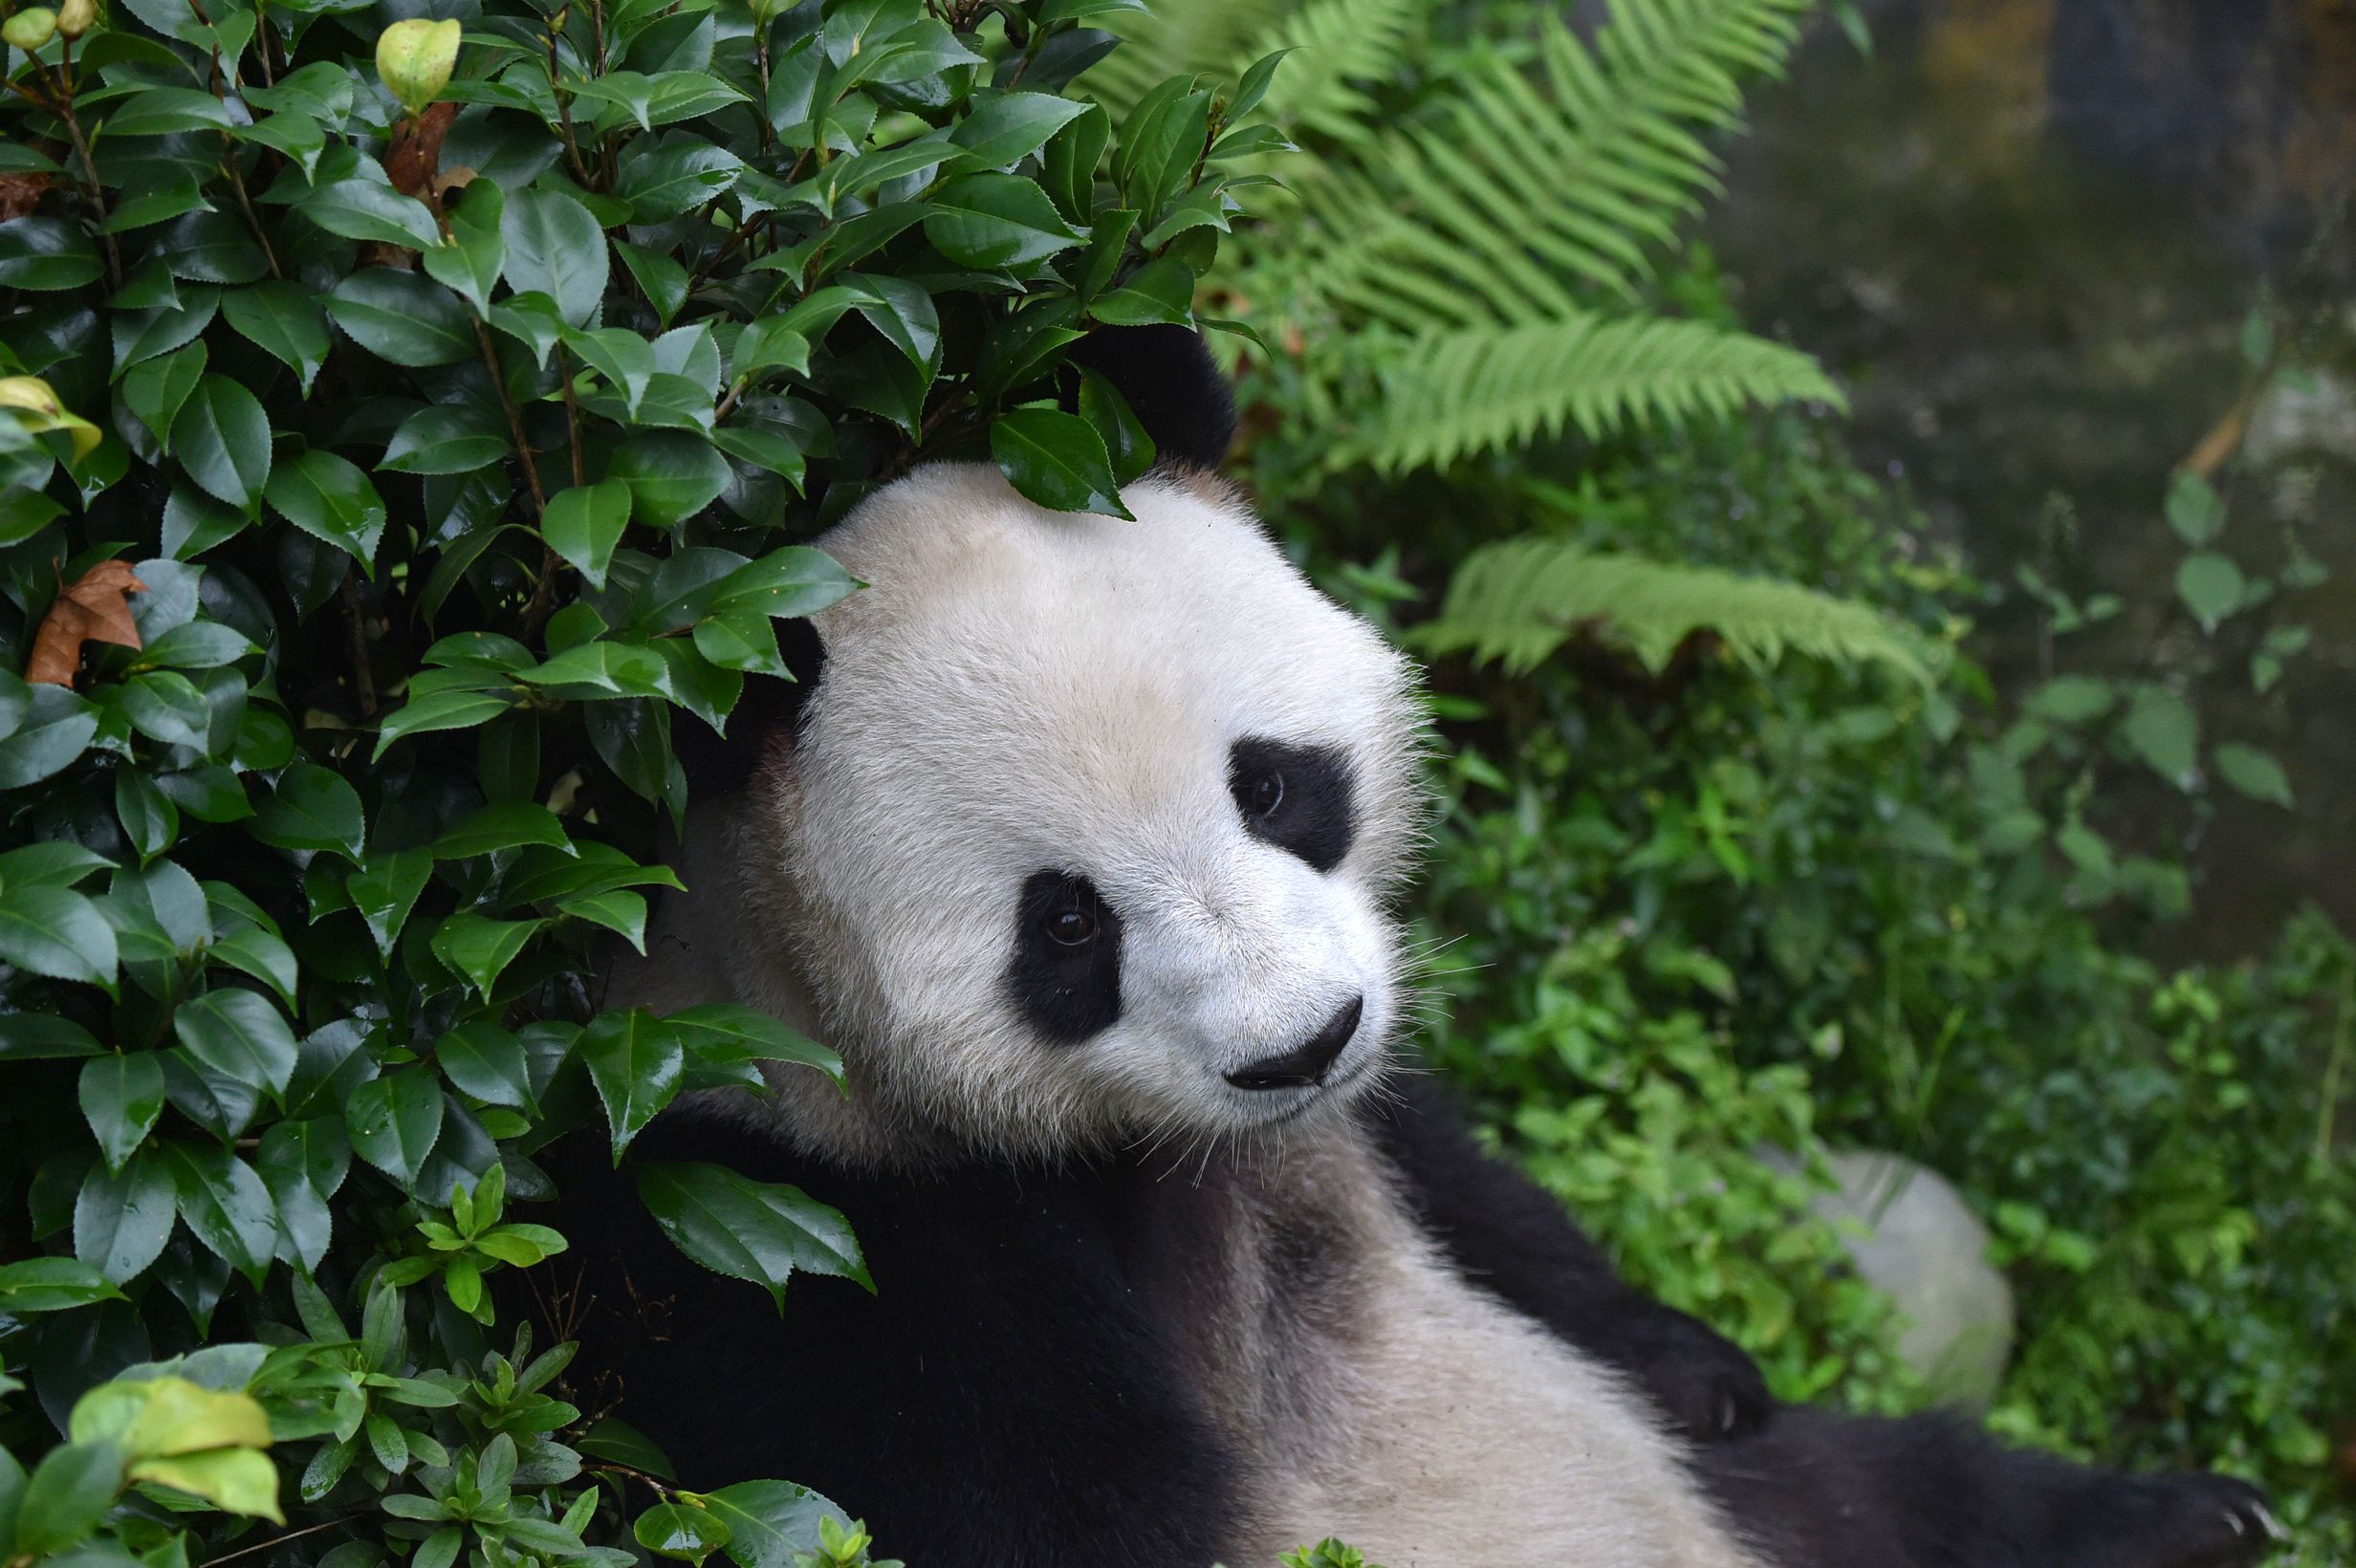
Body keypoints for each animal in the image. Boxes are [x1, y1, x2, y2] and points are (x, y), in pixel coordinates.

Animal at [548, 329, 2285, 1568]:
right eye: (1064, 924)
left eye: (1269, 784)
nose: (1298, 1047)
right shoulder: (803, 1245)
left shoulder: (1366, 1153)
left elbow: (1490, 1207)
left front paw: (1696, 1360)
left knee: (1883, 1486)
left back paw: (2189, 1523)